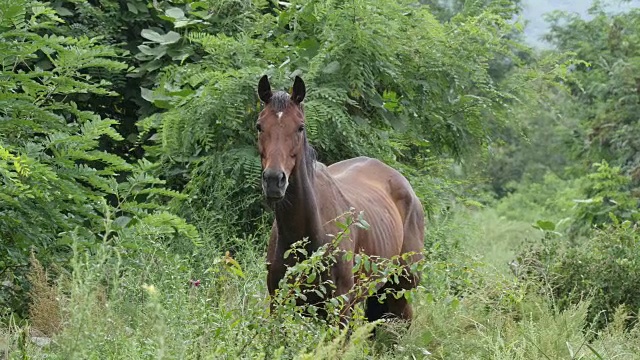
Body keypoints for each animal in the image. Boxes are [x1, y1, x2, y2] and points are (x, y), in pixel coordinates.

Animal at [255, 74, 424, 324]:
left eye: (300, 127)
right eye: (259, 126)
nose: (274, 180)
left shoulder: (340, 308)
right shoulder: (280, 305)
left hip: (400, 292)